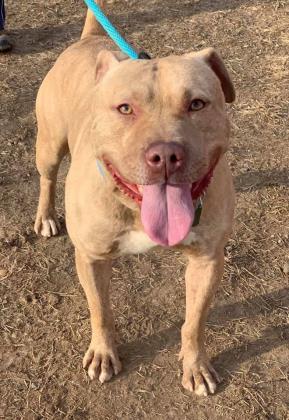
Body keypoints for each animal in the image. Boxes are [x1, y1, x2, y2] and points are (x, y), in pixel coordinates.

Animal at [34, 2, 234, 398]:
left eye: (197, 104)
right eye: (125, 108)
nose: (166, 154)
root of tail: (91, 39)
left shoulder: (207, 260)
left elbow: (194, 321)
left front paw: (196, 365)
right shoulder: (91, 258)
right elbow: (100, 310)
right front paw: (102, 354)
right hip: (48, 145)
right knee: (46, 177)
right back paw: (46, 215)